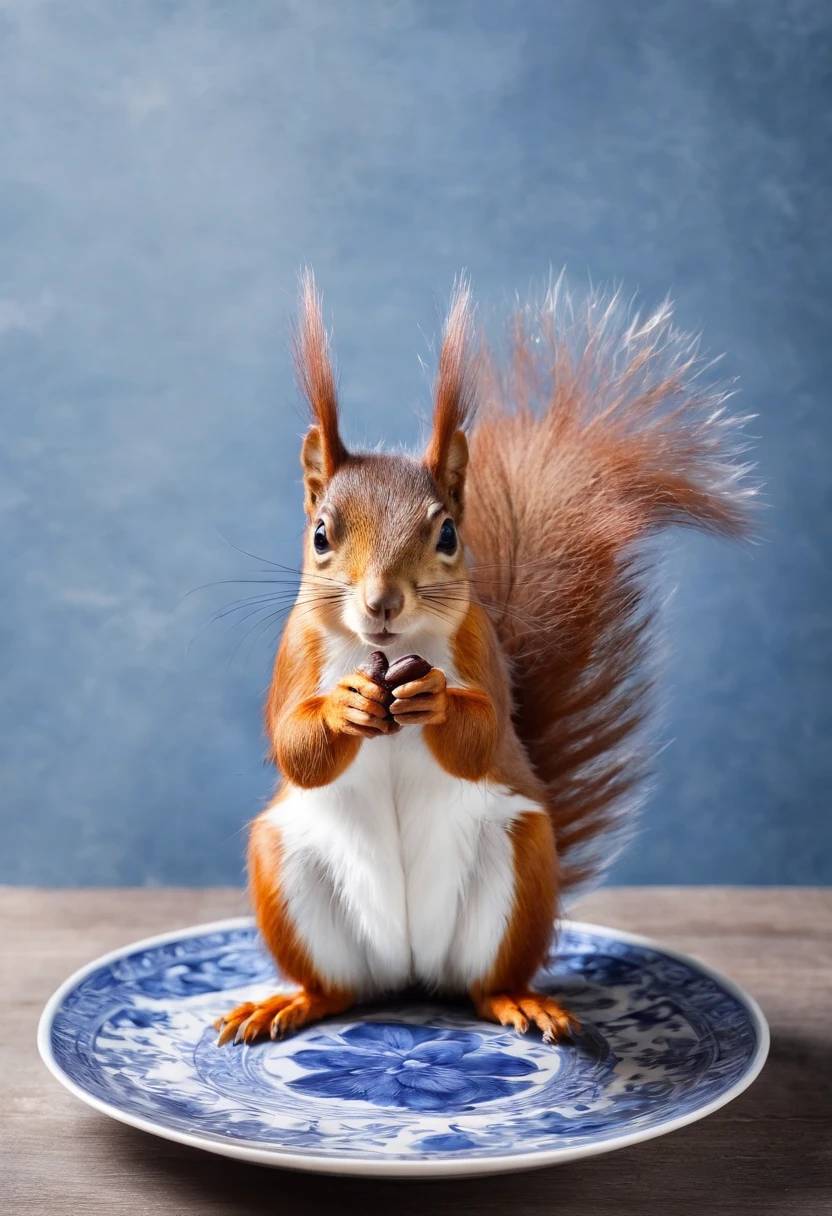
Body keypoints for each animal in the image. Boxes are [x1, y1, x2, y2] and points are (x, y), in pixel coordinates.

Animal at [216, 273, 754, 1045]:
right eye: (320, 534)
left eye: (447, 533)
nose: (382, 602)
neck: (388, 654)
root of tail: (408, 973)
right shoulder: (296, 652)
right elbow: (293, 743)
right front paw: (345, 703)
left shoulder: (479, 645)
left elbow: (487, 731)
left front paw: (436, 698)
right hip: (285, 867)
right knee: (335, 988)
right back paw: (288, 1002)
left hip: (517, 863)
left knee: (485, 982)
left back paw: (519, 1002)